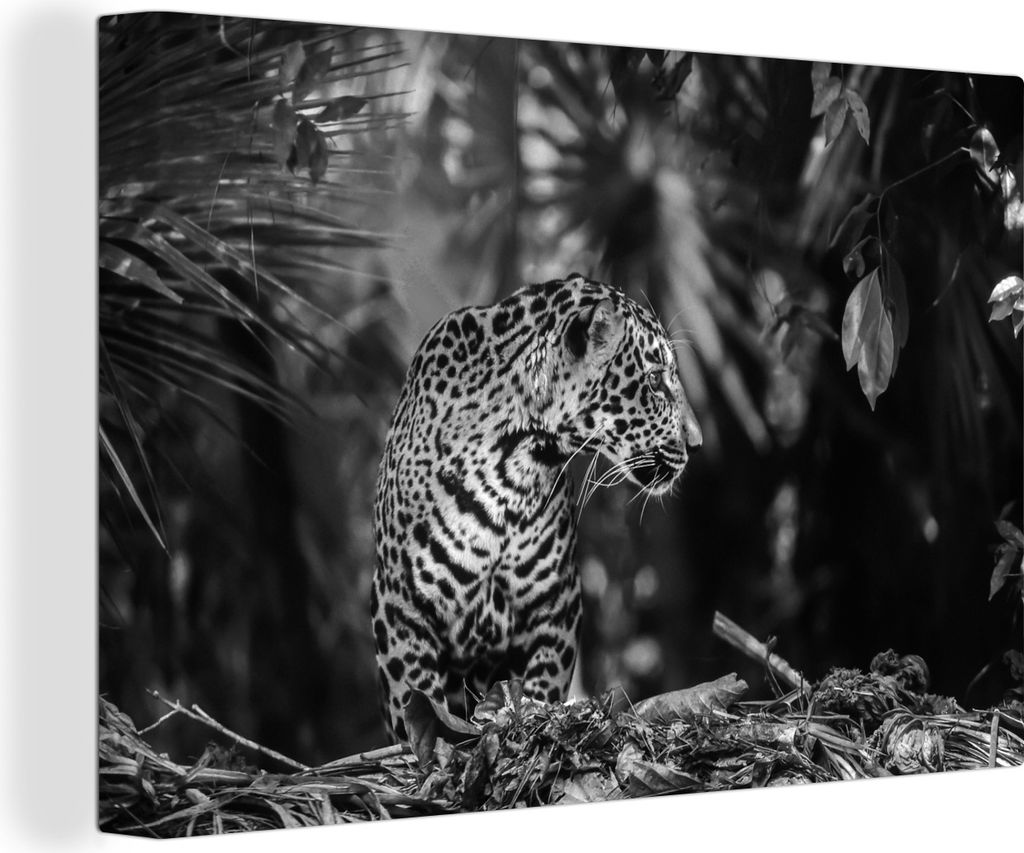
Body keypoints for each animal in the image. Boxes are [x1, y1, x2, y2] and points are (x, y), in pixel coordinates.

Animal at [370, 273, 702, 740]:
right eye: (655, 380)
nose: (697, 443)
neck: (516, 458)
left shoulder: (555, 606)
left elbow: (542, 688)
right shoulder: (402, 609)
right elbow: (414, 701)